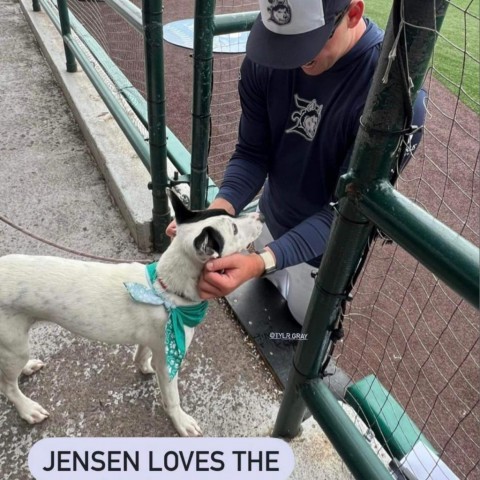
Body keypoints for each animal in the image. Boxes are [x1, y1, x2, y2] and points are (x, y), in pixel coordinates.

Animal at [0, 189, 262, 436]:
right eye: (234, 229)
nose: (260, 215)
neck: (166, 290)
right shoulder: (168, 359)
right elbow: (172, 398)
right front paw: (181, 421)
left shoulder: (152, 341)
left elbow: (141, 354)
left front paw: (144, 367)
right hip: (13, 346)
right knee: (8, 387)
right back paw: (27, 409)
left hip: (15, 344)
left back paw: (27, 368)